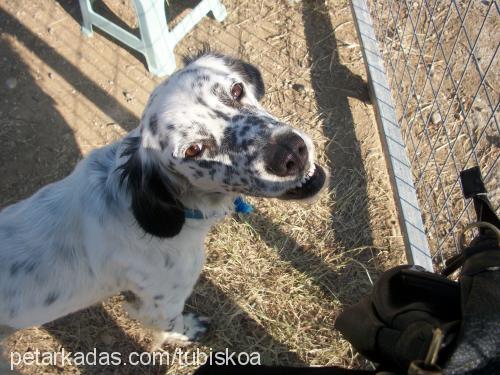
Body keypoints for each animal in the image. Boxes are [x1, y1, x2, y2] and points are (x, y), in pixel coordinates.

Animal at [0, 52, 326, 350]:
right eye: (194, 149)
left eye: (236, 90)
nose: (291, 152)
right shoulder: (162, 301)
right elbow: (171, 324)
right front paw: (187, 332)